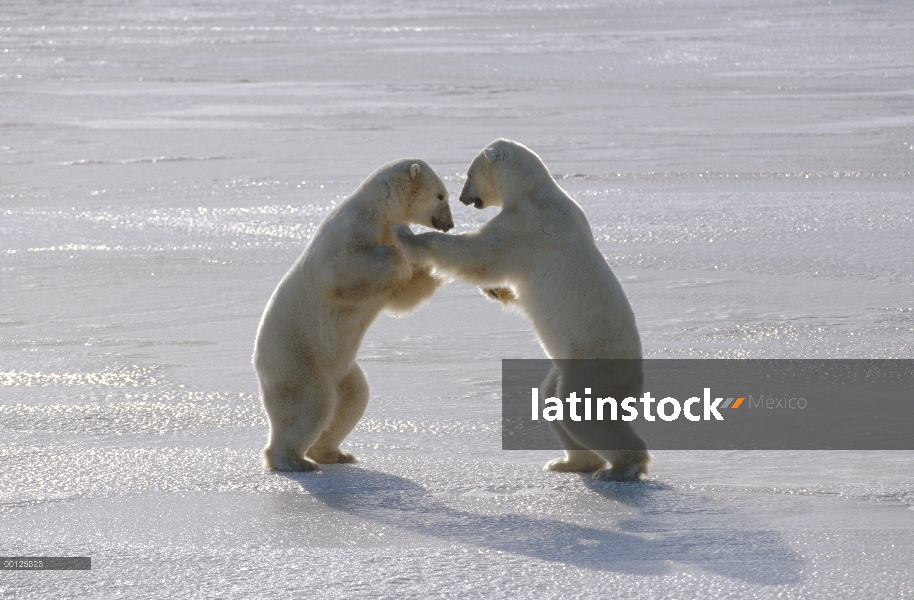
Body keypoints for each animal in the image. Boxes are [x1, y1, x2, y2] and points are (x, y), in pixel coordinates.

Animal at [253, 159, 452, 474]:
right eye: (441, 195)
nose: (449, 224)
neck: (376, 211)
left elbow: (402, 295)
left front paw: (426, 263)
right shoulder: (348, 232)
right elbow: (342, 271)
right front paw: (400, 254)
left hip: (342, 369)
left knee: (353, 399)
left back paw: (334, 453)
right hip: (296, 356)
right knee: (312, 402)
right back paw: (293, 460)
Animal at [394, 138, 648, 480]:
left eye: (469, 174)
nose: (463, 198)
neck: (535, 192)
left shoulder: (524, 225)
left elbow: (478, 253)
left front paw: (406, 235)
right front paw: (496, 291)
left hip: (592, 363)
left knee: (583, 412)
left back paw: (622, 467)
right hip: (566, 365)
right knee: (552, 398)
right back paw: (569, 463)